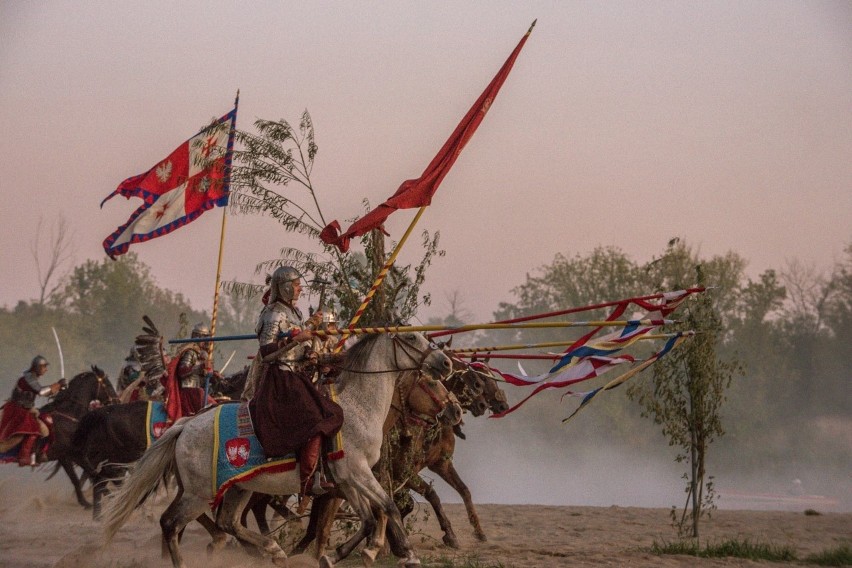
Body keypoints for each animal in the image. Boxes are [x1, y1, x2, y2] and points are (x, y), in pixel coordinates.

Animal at [35, 366, 118, 508]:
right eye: (107, 384)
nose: (117, 400)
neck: (69, 414)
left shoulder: (67, 456)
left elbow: (79, 478)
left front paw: (85, 501)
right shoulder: (73, 455)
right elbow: (93, 475)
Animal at [101, 332, 452, 568]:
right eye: (413, 338)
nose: (445, 363)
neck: (358, 406)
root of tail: (184, 426)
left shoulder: (346, 480)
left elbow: (369, 516)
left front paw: (339, 555)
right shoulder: (357, 473)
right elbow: (388, 506)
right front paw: (403, 554)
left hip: (237, 488)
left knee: (227, 522)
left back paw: (273, 550)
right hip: (200, 493)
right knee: (172, 523)